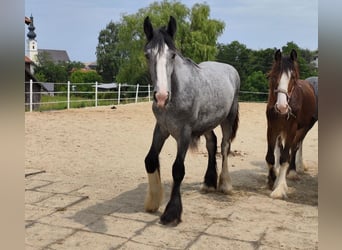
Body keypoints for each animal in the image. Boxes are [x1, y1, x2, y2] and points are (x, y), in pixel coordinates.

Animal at [143, 16, 239, 226]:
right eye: (147, 55)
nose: (161, 97)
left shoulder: (184, 133)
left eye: (172, 55)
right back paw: (209, 183)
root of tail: (230, 69)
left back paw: (225, 184)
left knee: (225, 147)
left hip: (227, 118)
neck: (177, 91)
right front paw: (153, 200)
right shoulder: (161, 128)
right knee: (212, 144)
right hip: (207, 122)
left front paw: (171, 213)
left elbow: (178, 169)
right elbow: (150, 160)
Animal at [266, 48, 316, 197]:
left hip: (303, 129)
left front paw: (279, 188)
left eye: (293, 78)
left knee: (294, 148)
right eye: (273, 76)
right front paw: (272, 179)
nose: (282, 107)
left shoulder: (291, 130)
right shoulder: (272, 128)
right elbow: (270, 157)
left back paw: (293, 171)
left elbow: (284, 158)